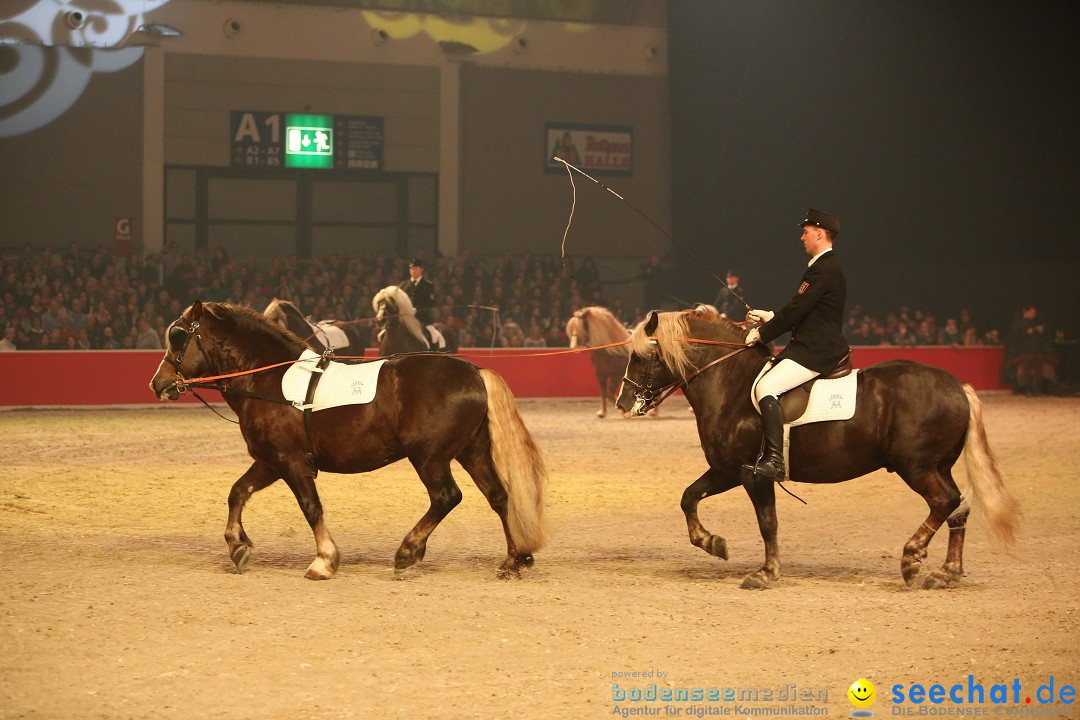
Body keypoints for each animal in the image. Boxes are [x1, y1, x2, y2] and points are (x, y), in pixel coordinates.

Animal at [150, 302, 548, 578]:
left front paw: (324, 561)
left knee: (446, 497)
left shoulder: (292, 462)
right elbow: (237, 492)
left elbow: (311, 508)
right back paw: (513, 560)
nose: (158, 383)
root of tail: (474, 371)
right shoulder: (270, 461)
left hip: (430, 457)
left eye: (179, 335)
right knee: (499, 497)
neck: (268, 379)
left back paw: (408, 551)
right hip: (471, 452)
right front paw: (237, 545)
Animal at [617, 308, 1019, 591]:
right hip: (938, 466)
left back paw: (912, 558)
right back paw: (947, 573)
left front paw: (765, 573)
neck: (730, 384)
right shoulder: (727, 470)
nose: (622, 404)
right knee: (958, 506)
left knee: (944, 502)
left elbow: (767, 522)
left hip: (916, 466)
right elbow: (689, 497)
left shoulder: (752, 474)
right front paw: (712, 543)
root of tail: (956, 386)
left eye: (640, 357)